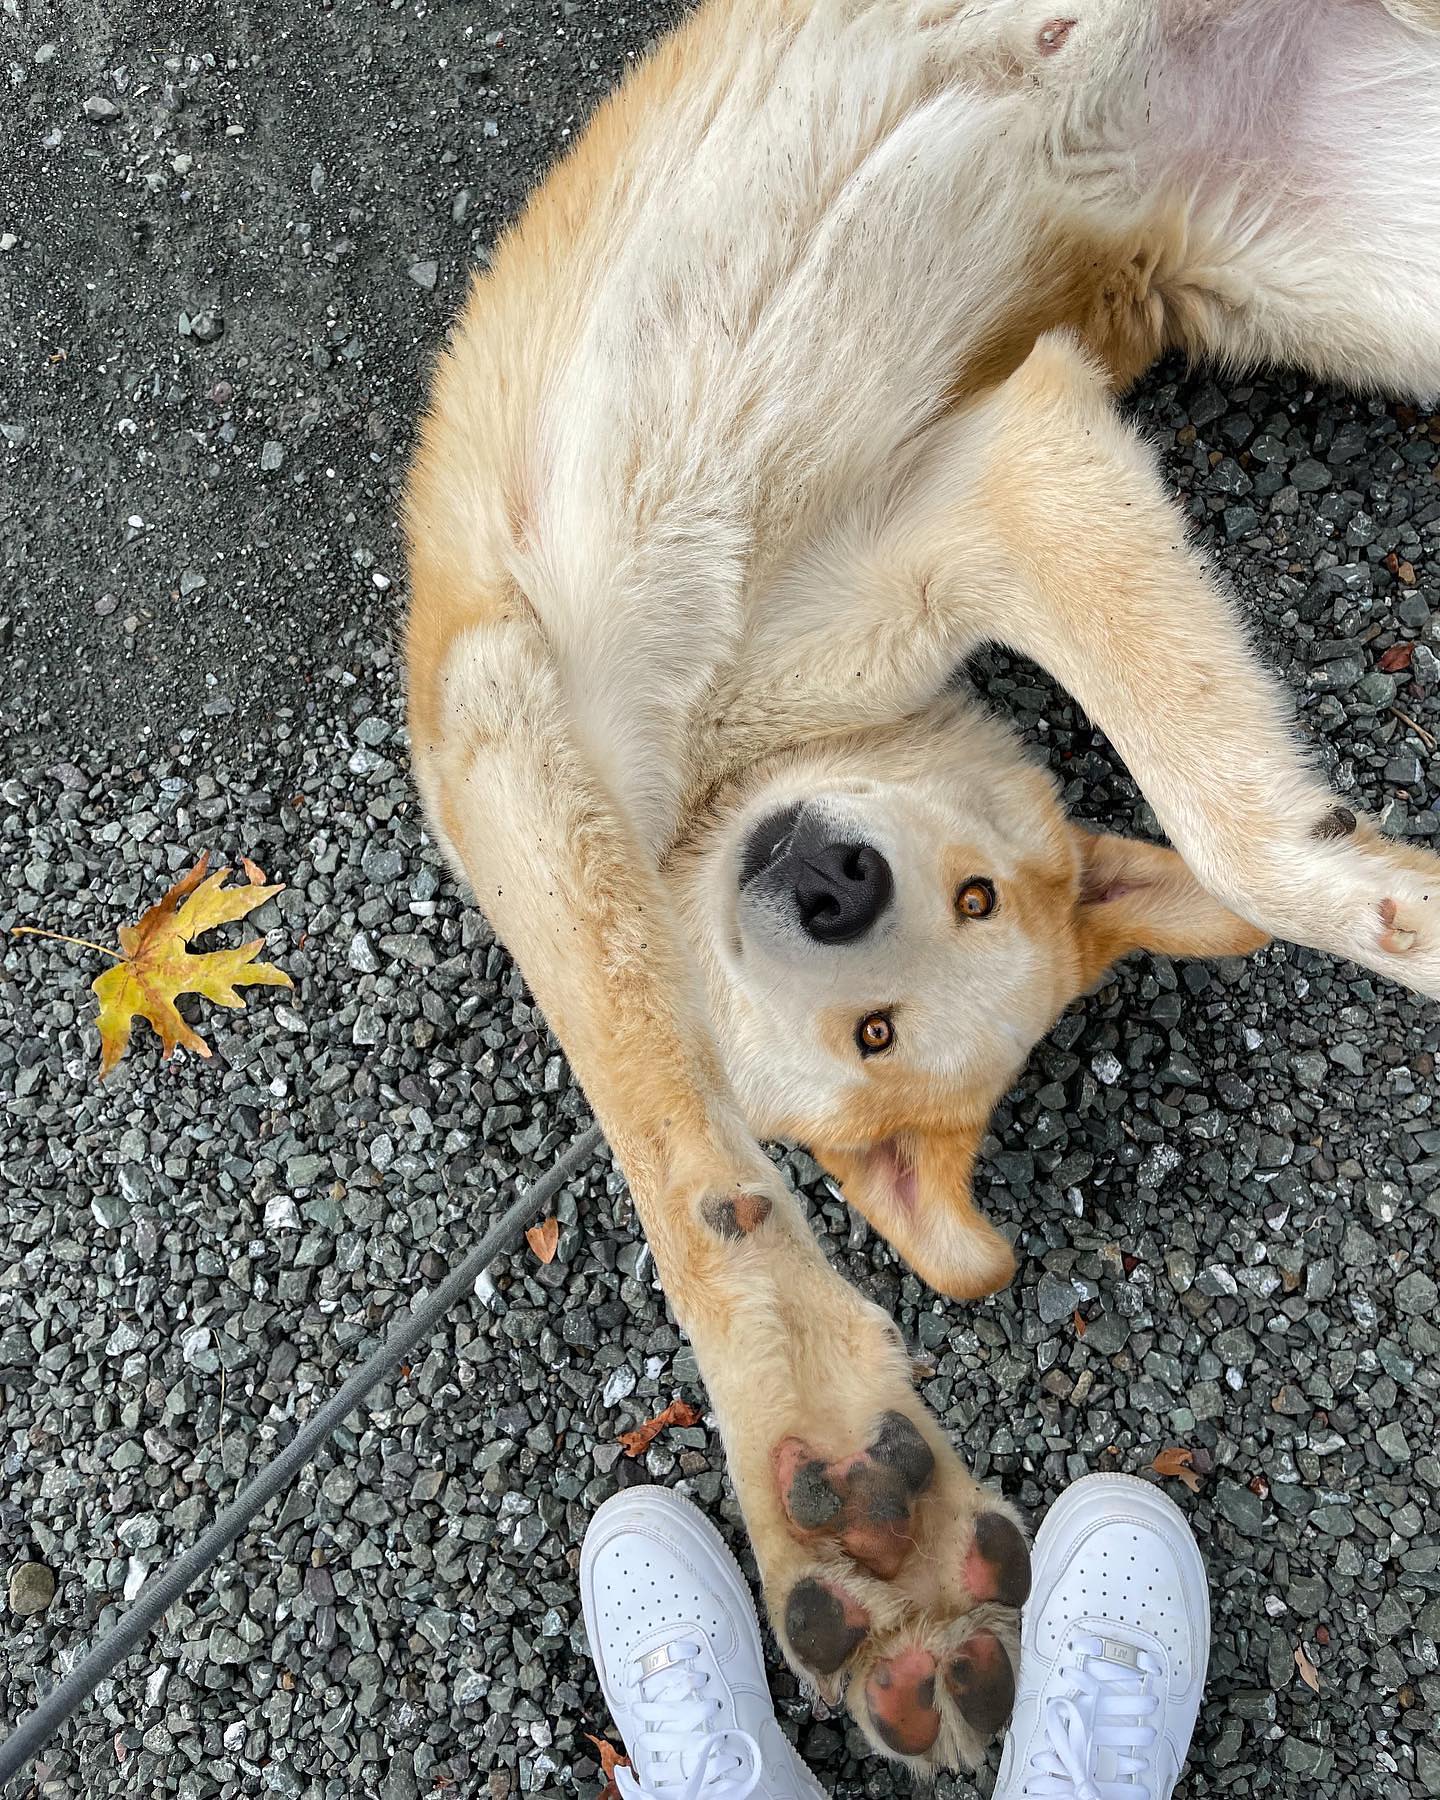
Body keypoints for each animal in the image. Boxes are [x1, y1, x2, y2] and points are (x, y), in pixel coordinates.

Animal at [401, 0, 1440, 1771]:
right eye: (871, 1035)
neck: (741, 752)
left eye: (976, 902)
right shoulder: (988, 479)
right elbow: (700, 1174)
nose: (828, 880)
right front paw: (839, 1489)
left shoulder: (996, 487)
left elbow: (1230, 828)